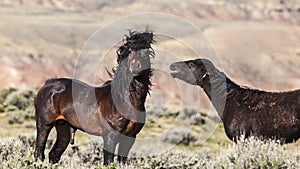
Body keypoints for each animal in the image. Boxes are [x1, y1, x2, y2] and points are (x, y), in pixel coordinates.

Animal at [34, 30, 155, 165]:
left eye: (145, 50)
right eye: (129, 50)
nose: (135, 67)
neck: (124, 101)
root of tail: (47, 84)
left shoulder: (130, 138)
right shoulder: (110, 136)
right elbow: (108, 161)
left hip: (63, 126)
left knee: (54, 154)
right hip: (44, 124)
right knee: (39, 153)